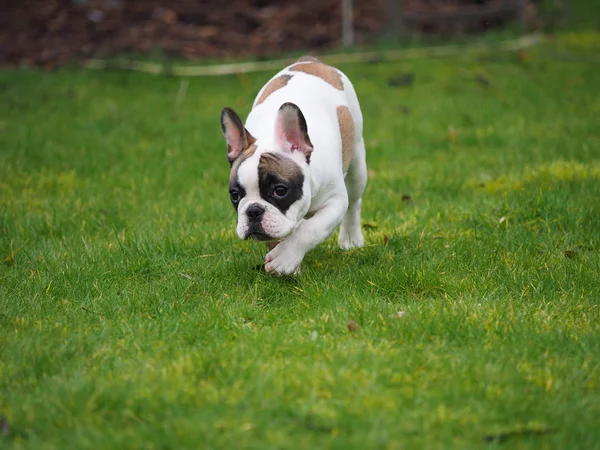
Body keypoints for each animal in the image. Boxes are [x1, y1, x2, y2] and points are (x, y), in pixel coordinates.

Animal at [220, 56, 366, 274]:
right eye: (235, 195)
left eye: (280, 190)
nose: (253, 210)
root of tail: (309, 60)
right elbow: (278, 237)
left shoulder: (335, 202)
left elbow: (311, 230)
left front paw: (286, 257)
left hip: (357, 164)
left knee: (354, 202)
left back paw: (351, 238)